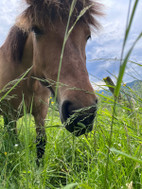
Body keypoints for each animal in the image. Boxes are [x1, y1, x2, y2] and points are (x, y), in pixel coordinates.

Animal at [0, 0, 102, 162]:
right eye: (36, 30)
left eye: (88, 36)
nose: (83, 114)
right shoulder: (10, 115)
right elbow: (13, 141)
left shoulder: (41, 112)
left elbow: (41, 143)